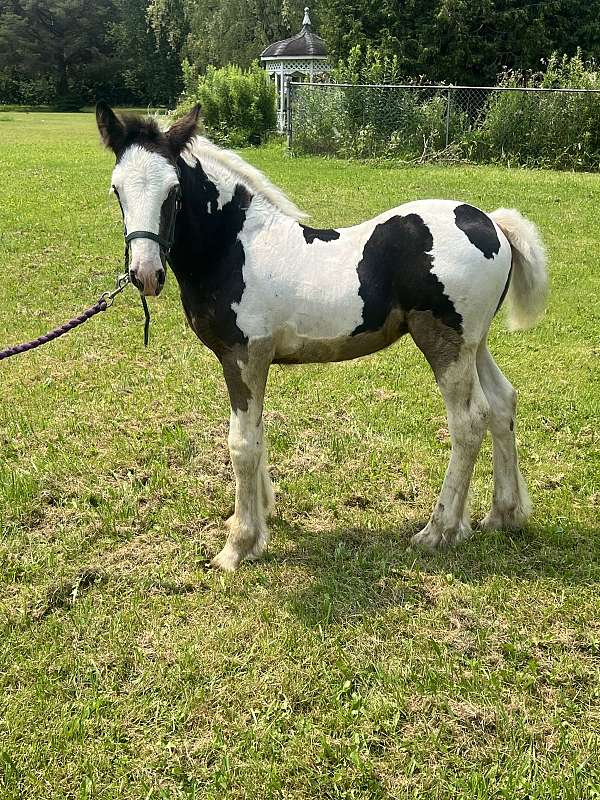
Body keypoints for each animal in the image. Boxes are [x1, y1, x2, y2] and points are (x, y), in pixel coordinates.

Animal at [96, 102, 548, 572]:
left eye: (173, 191)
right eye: (117, 190)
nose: (145, 274)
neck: (235, 247)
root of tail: (491, 223)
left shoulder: (243, 357)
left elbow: (242, 444)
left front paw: (238, 546)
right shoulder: (255, 362)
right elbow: (258, 434)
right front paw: (260, 519)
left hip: (446, 346)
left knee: (469, 421)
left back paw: (439, 531)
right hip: (475, 344)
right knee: (502, 403)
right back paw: (504, 514)